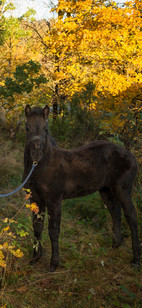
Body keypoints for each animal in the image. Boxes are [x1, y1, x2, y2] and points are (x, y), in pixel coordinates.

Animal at [22, 104, 140, 270]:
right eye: (27, 128)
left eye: (46, 129)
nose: (36, 154)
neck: (41, 166)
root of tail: (131, 155)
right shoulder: (35, 199)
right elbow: (37, 228)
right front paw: (35, 258)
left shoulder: (54, 200)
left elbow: (53, 231)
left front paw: (54, 264)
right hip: (106, 191)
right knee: (115, 212)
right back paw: (116, 244)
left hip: (122, 191)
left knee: (131, 216)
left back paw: (135, 259)